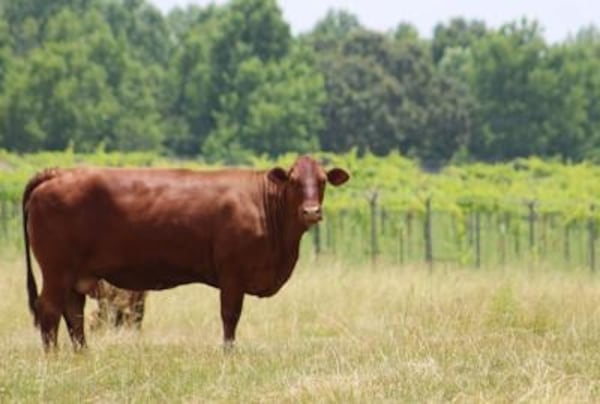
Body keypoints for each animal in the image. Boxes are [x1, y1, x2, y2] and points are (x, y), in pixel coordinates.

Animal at [23, 156, 350, 352]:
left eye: (322, 181)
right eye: (294, 181)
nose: (311, 211)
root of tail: (58, 173)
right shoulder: (232, 274)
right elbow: (230, 316)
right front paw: (228, 355)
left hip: (74, 275)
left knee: (73, 314)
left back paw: (83, 356)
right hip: (56, 270)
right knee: (49, 311)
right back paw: (53, 358)